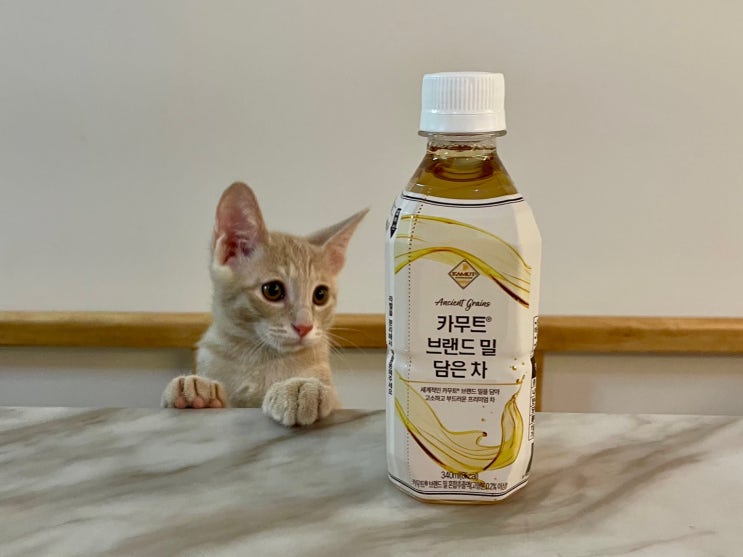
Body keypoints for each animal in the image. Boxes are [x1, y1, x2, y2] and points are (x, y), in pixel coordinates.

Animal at [161, 182, 367, 426]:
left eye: (320, 295)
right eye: (273, 290)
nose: (304, 327)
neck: (259, 358)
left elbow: (331, 397)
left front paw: (300, 386)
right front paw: (196, 387)